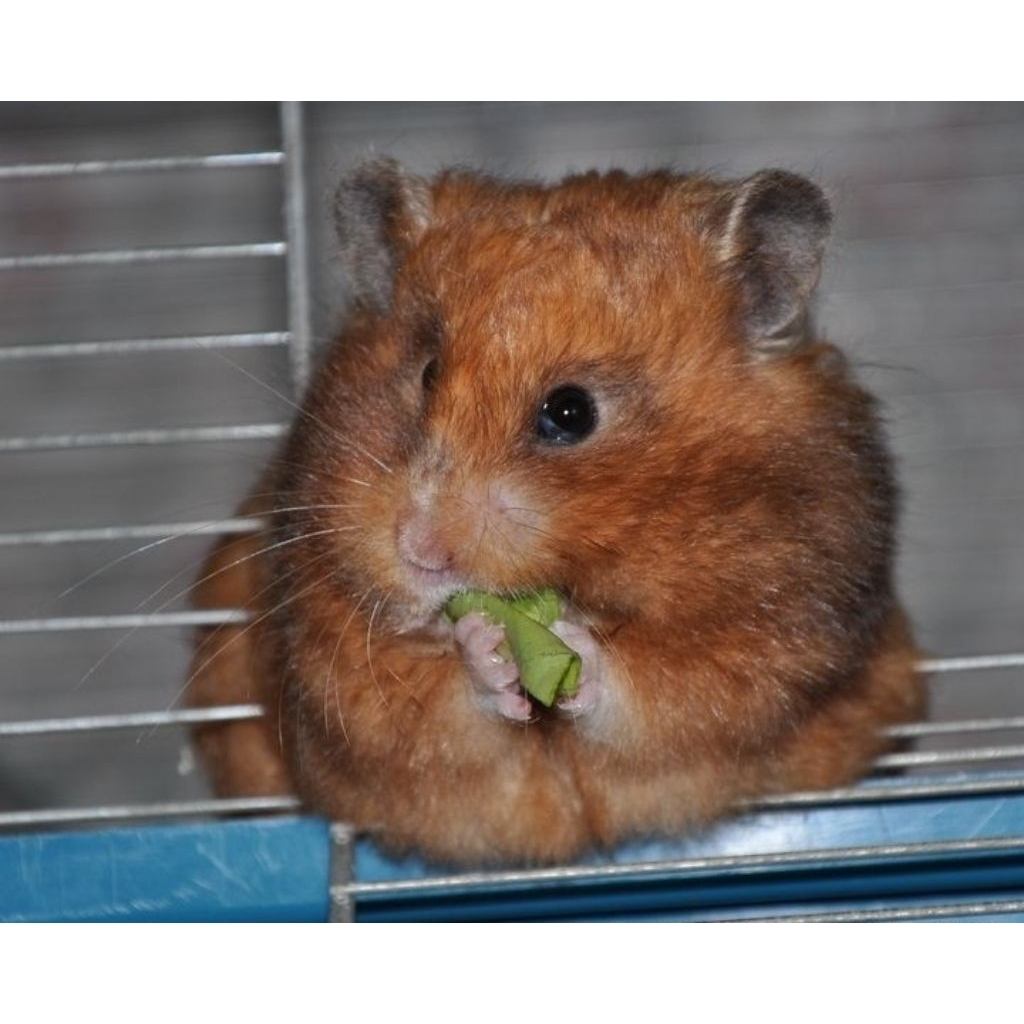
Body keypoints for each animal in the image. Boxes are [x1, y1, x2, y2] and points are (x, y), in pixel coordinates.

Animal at [187, 159, 925, 867]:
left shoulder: (781, 632)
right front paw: (483, 645)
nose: (421, 553)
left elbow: (675, 687)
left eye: (571, 412)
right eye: (426, 375)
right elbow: (424, 709)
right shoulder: (329, 658)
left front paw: (572, 645)